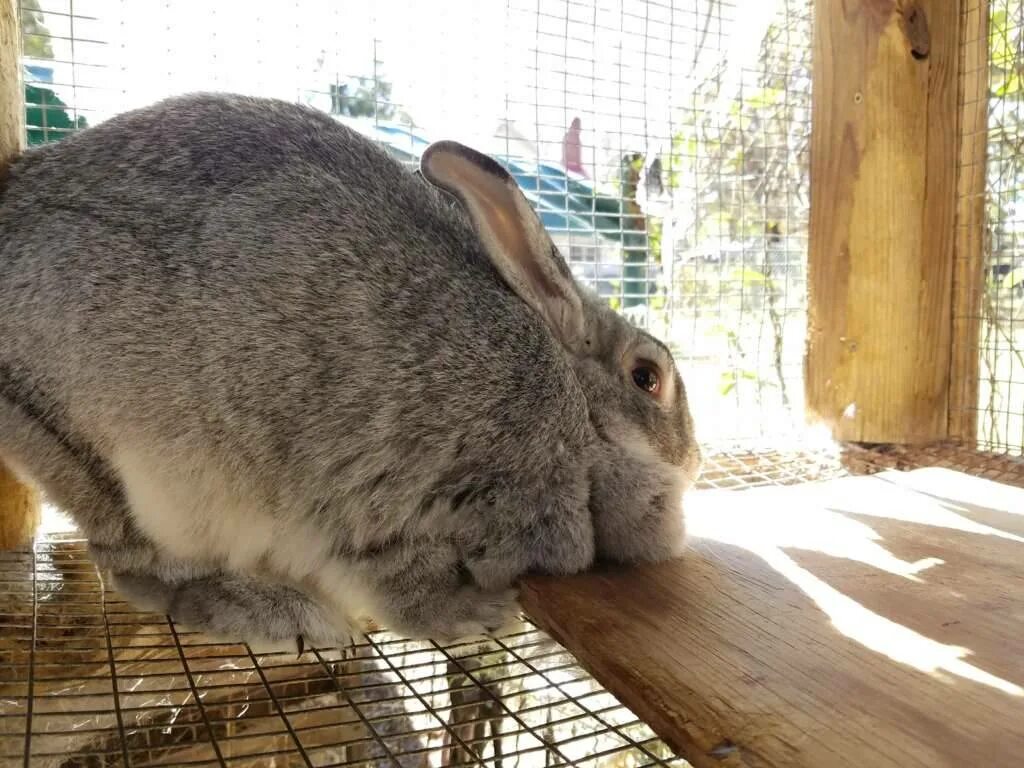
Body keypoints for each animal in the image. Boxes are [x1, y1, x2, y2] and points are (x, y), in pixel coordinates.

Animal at [0, 93, 700, 651]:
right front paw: (478, 616)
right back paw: (283, 616)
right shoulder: (399, 502)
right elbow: (406, 588)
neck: (579, 413)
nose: (693, 461)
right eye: (647, 377)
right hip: (126, 465)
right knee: (139, 569)